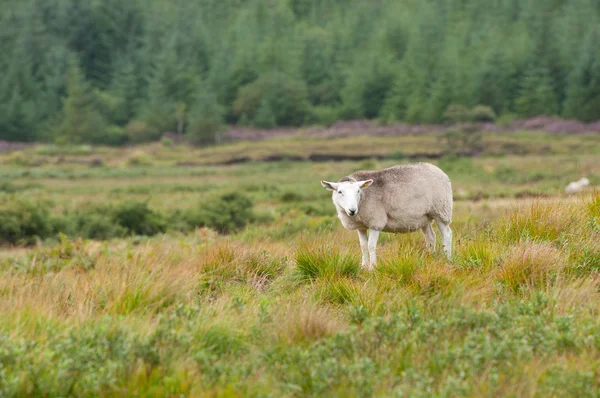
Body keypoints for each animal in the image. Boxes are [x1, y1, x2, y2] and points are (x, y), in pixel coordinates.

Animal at [322, 162, 452, 270]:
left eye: (358, 191)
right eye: (340, 192)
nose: (352, 210)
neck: (363, 199)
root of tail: (438, 170)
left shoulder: (375, 222)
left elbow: (371, 246)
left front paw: (373, 267)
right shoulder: (361, 226)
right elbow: (363, 246)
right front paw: (363, 266)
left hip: (441, 210)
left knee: (447, 234)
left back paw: (447, 258)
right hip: (424, 217)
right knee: (431, 237)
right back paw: (429, 257)